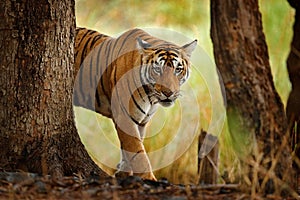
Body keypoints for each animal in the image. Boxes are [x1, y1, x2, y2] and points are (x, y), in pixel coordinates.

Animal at [74, 27, 198, 180]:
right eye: (158, 69)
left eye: (178, 69)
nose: (168, 92)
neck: (150, 96)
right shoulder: (124, 116)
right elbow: (138, 152)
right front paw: (149, 178)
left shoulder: (141, 120)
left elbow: (129, 148)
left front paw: (123, 173)